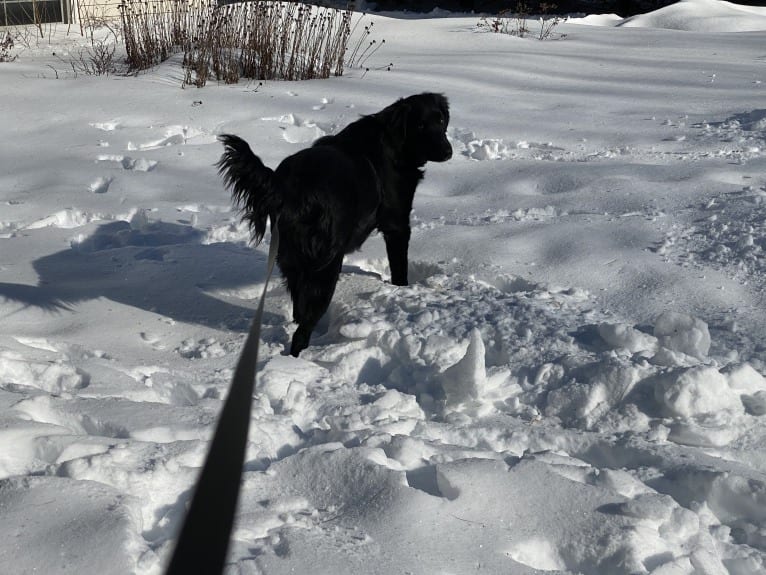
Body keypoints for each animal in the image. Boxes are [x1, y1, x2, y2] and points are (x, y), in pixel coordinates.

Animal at [219, 93, 452, 358]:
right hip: (327, 266)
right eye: (420, 125)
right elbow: (399, 269)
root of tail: (292, 188)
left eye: (441, 120)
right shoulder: (397, 224)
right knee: (302, 330)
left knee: (300, 311)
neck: (394, 141)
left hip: (291, 259)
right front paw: (402, 291)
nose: (448, 151)